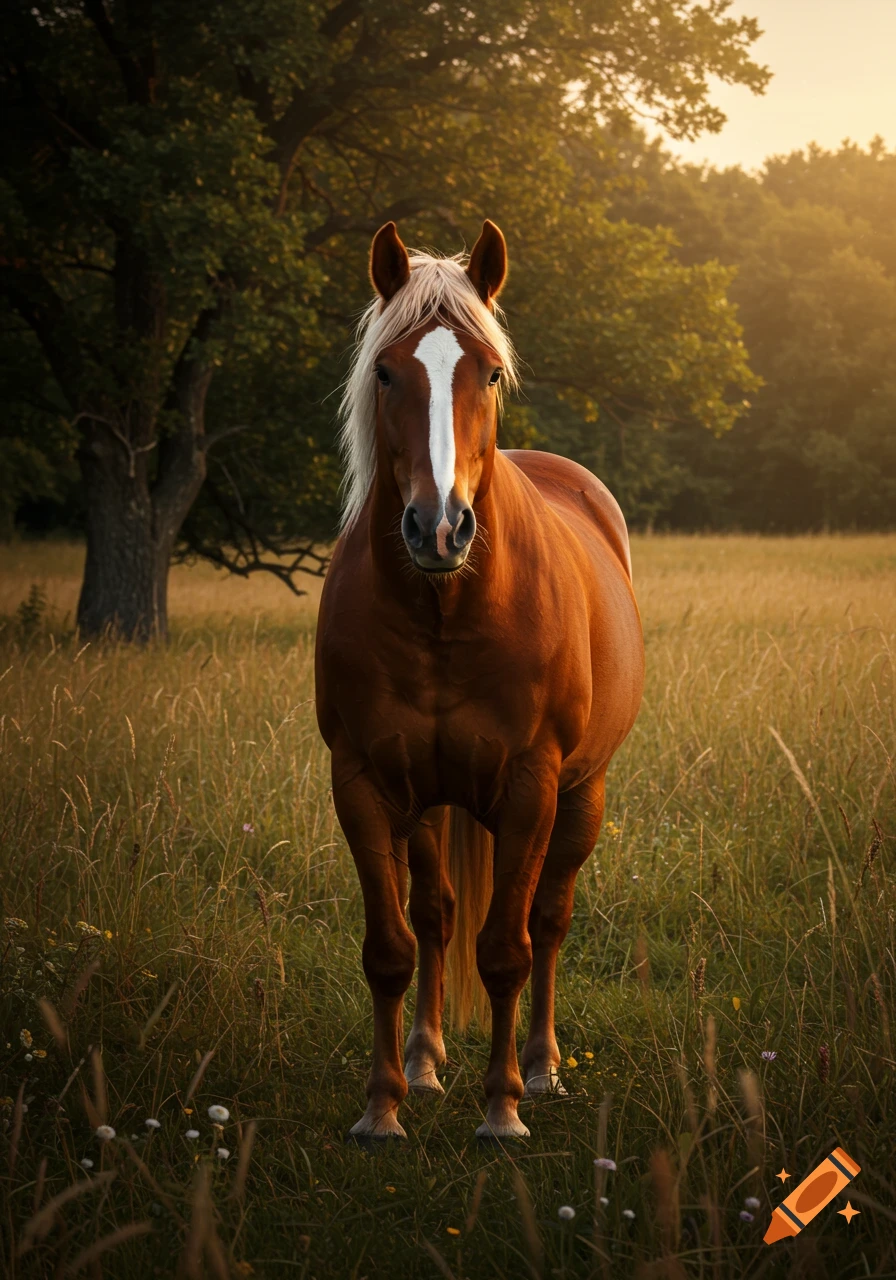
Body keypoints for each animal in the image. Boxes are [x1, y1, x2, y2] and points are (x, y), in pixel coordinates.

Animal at [314, 219, 644, 1140]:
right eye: (387, 371)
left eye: (489, 372)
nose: (440, 527)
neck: (447, 610)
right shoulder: (363, 782)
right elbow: (390, 948)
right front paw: (382, 1107)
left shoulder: (532, 786)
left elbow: (507, 951)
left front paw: (501, 1109)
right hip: (430, 803)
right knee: (436, 917)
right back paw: (426, 1062)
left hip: (582, 793)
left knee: (548, 920)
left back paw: (542, 1067)